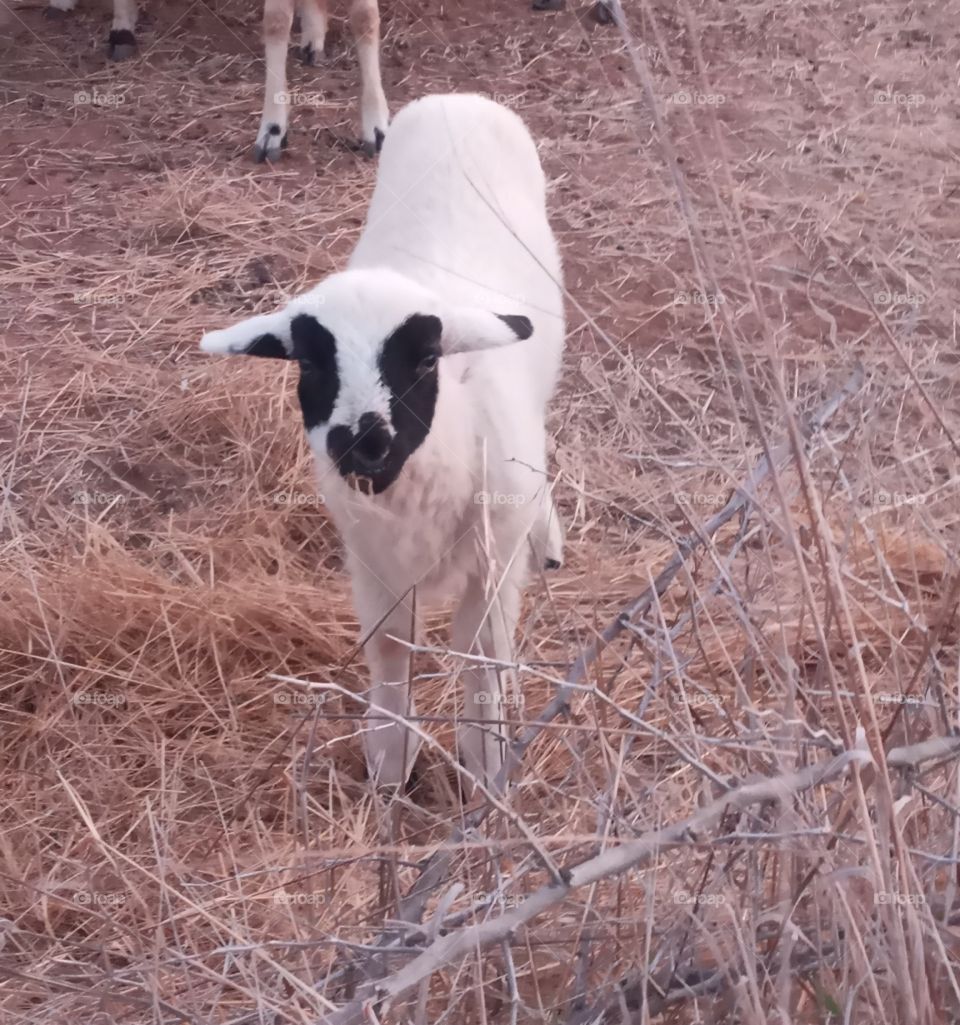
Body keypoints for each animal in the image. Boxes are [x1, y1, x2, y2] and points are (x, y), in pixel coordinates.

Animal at [199, 93, 565, 792]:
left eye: (424, 360)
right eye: (310, 364)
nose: (362, 442)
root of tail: (457, 99)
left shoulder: (492, 566)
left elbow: (480, 654)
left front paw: (487, 763)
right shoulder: (371, 562)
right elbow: (392, 648)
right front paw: (390, 762)